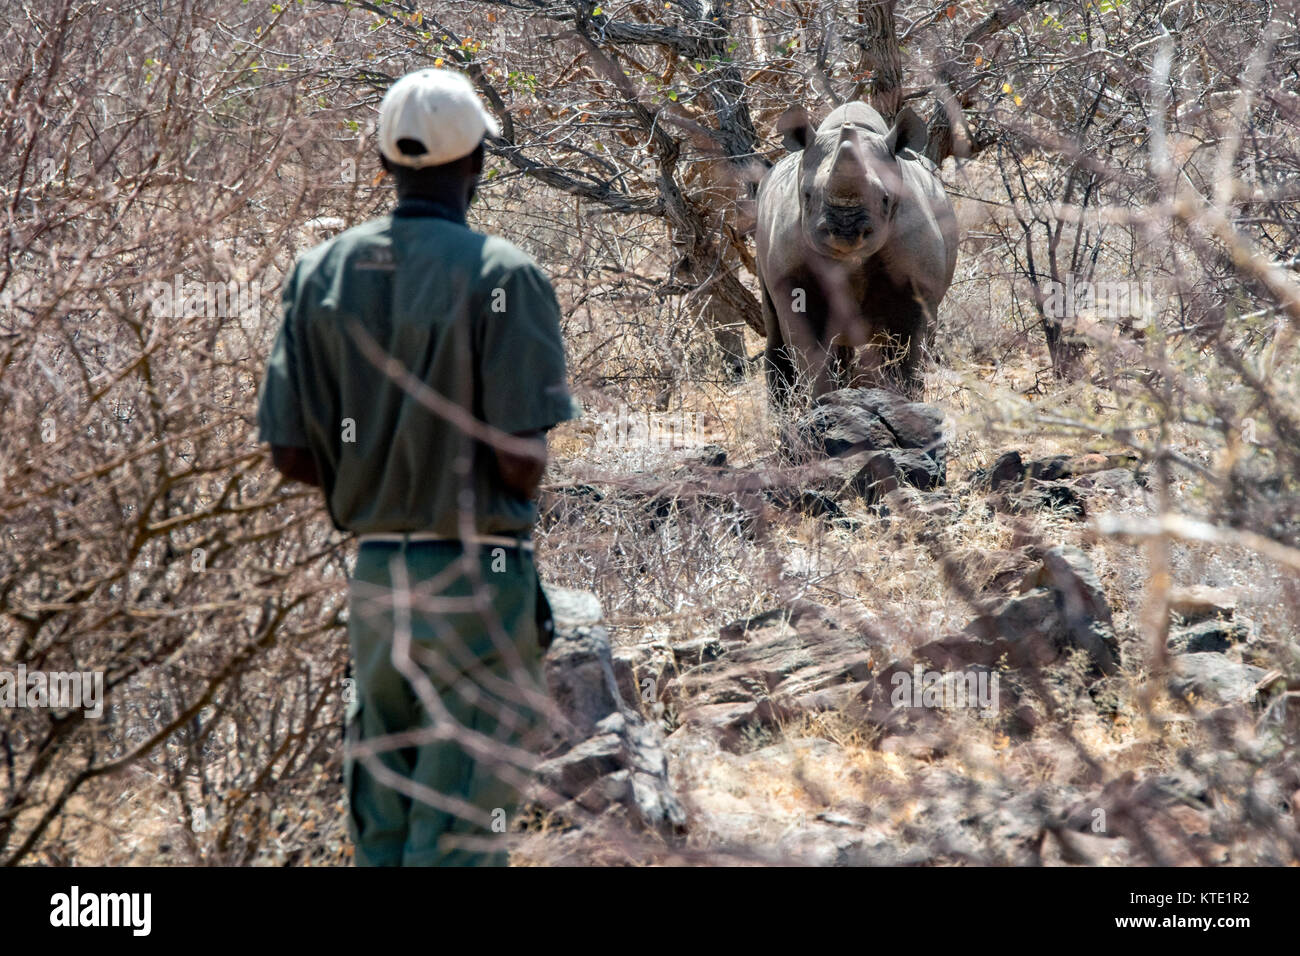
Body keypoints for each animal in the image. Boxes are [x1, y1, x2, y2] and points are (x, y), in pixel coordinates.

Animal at [754, 102, 958, 405]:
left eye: (886, 198)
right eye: (806, 195)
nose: (845, 229)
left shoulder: (917, 282)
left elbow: (908, 353)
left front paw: (904, 403)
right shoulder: (793, 278)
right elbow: (812, 354)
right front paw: (823, 405)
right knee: (776, 334)